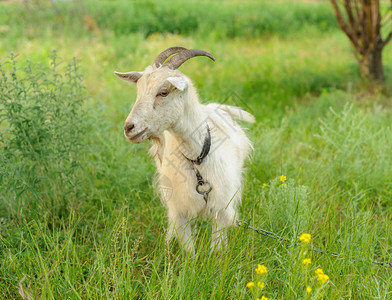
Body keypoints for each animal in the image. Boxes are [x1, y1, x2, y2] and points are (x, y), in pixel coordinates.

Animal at [114, 47, 254, 253]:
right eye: (138, 91)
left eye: (163, 92)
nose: (129, 127)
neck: (196, 158)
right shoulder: (180, 208)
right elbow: (189, 251)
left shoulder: (221, 205)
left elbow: (217, 248)